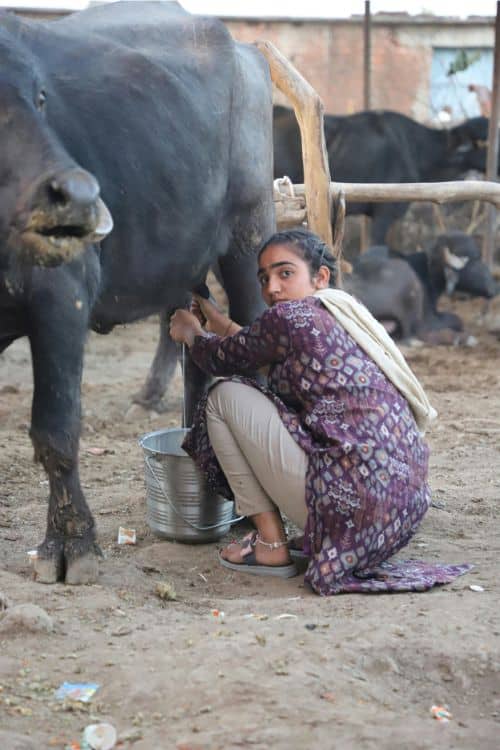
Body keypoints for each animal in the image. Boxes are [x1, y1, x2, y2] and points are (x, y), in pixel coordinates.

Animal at [0, 2, 274, 583]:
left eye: (40, 97)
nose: (77, 197)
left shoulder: (61, 298)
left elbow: (55, 431)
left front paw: (70, 545)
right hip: (185, 264)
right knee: (196, 354)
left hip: (249, 235)